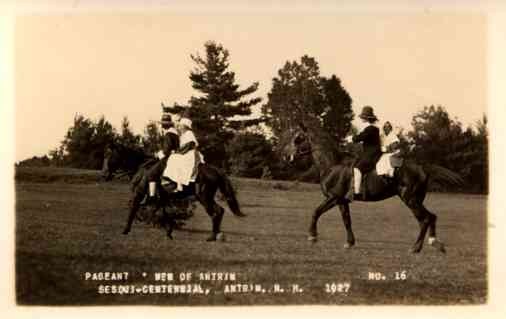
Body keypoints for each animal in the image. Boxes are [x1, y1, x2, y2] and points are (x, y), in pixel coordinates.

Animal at [101, 140, 245, 242]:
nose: (103, 175)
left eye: (109, 155)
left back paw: (212, 237)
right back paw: (217, 235)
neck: (141, 167)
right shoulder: (162, 198)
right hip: (206, 198)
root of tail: (215, 170)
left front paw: (126, 230)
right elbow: (164, 213)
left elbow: (133, 210)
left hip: (204, 197)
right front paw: (169, 232)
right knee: (220, 211)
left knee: (216, 213)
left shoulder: (139, 194)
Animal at [282, 114, 464, 254]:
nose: (285, 156)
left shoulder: (333, 198)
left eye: (298, 138)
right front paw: (349, 243)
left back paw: (416, 248)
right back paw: (434, 244)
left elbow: (316, 212)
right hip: (415, 199)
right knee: (429, 217)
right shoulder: (341, 201)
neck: (333, 164)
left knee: (425, 219)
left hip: (410, 199)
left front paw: (312, 236)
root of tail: (421, 167)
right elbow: (346, 220)